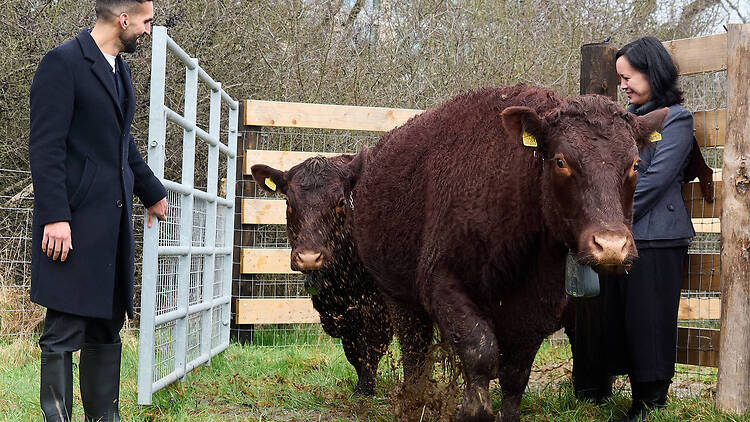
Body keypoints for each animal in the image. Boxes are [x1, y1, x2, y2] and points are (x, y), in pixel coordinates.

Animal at [250, 153, 394, 396]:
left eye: (341, 202)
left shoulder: (380, 307)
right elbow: (353, 350)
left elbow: (373, 346)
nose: (309, 257)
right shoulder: (337, 311)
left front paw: (365, 388)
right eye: (288, 202)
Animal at [347, 84, 670, 421]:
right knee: (414, 351)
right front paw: (473, 410)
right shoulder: (442, 284)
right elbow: (480, 352)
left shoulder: (538, 308)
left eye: (635, 164)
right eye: (561, 161)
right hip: (396, 293)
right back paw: (414, 403)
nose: (611, 246)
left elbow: (515, 374)